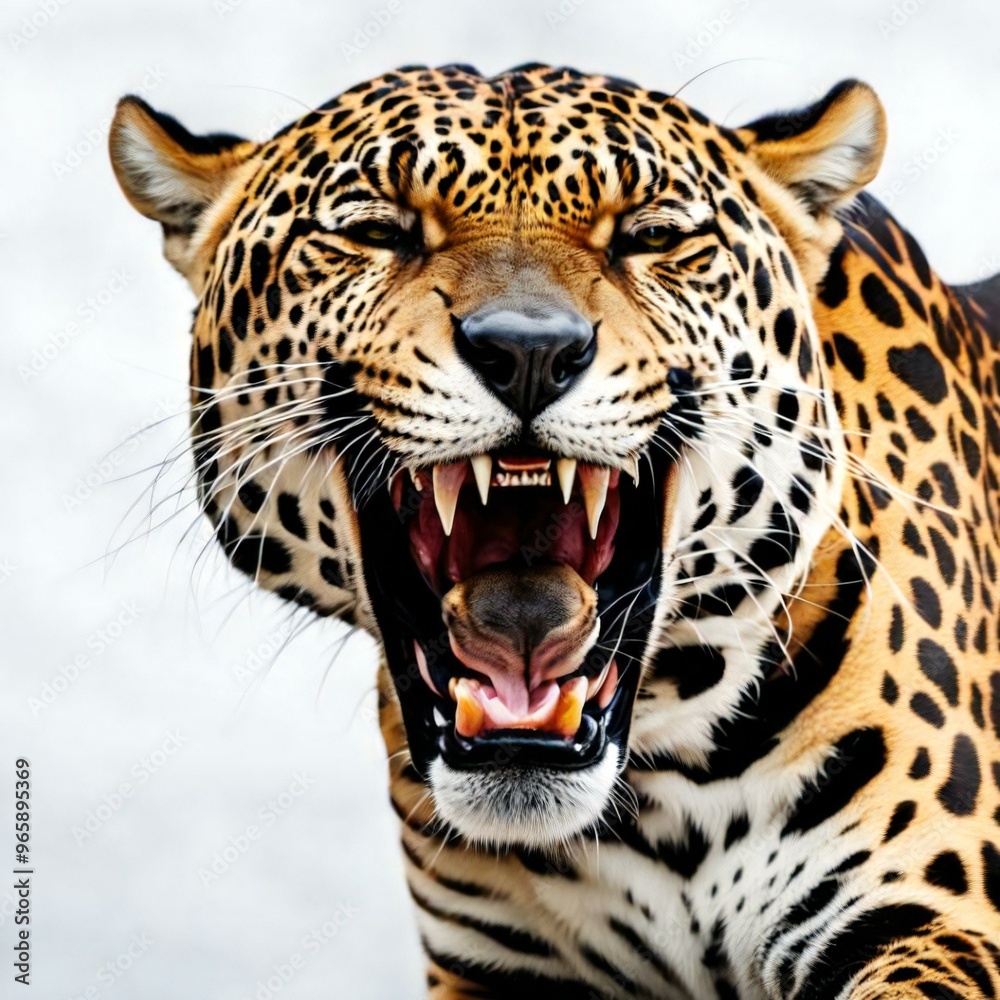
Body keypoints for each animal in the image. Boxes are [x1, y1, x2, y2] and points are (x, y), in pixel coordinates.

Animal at [109, 63, 1000, 998]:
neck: (660, 796)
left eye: (650, 236)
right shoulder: (491, 963)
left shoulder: (921, 917)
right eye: (377, 231)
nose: (528, 352)